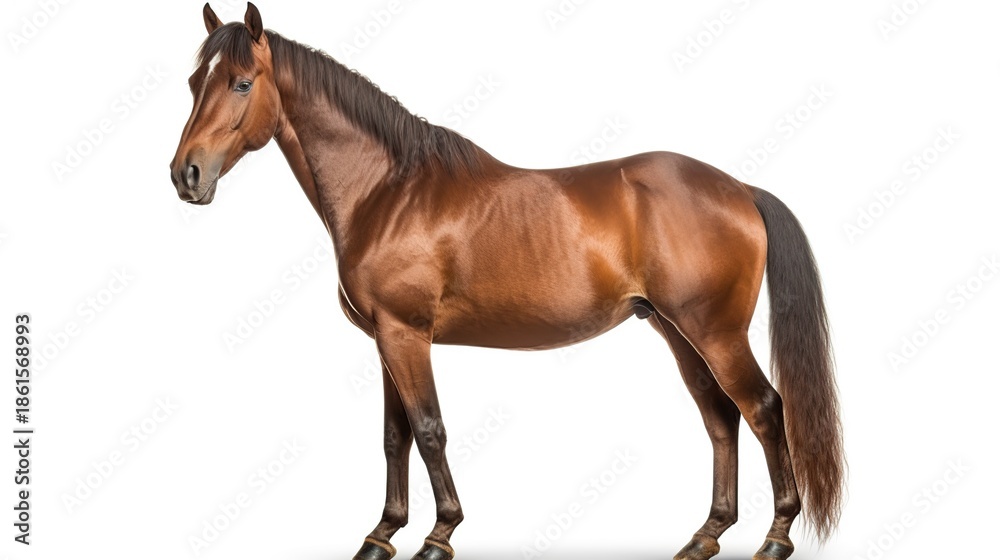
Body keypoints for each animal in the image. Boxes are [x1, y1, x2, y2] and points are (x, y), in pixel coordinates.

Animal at [170, 4, 844, 560]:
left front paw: (439, 535)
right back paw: (705, 536)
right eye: (194, 83)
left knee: (762, 408)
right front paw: (381, 535)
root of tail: (739, 189)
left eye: (241, 82)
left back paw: (776, 537)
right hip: (679, 333)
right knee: (720, 417)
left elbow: (429, 430)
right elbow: (394, 437)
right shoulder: (386, 340)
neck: (387, 192)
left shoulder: (407, 335)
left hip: (716, 333)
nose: (186, 175)